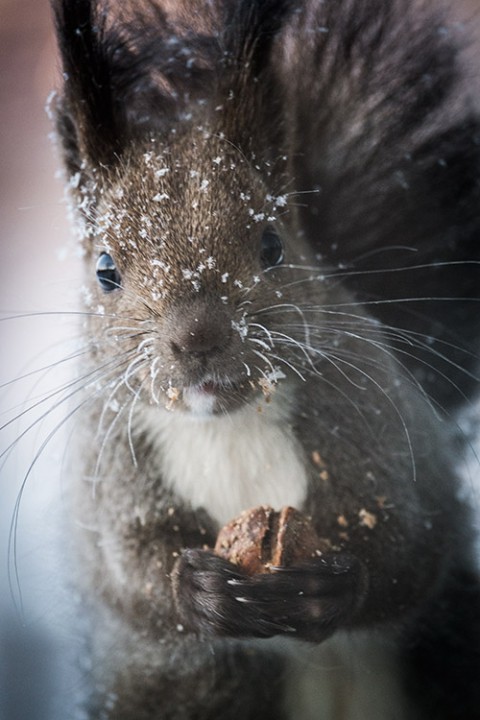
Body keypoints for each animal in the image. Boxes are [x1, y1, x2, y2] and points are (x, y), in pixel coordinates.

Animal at [50, 1, 478, 720]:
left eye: (273, 244)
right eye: (105, 269)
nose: (198, 337)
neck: (227, 421)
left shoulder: (376, 418)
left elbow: (415, 544)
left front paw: (329, 588)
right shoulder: (109, 461)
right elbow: (127, 571)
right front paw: (195, 589)